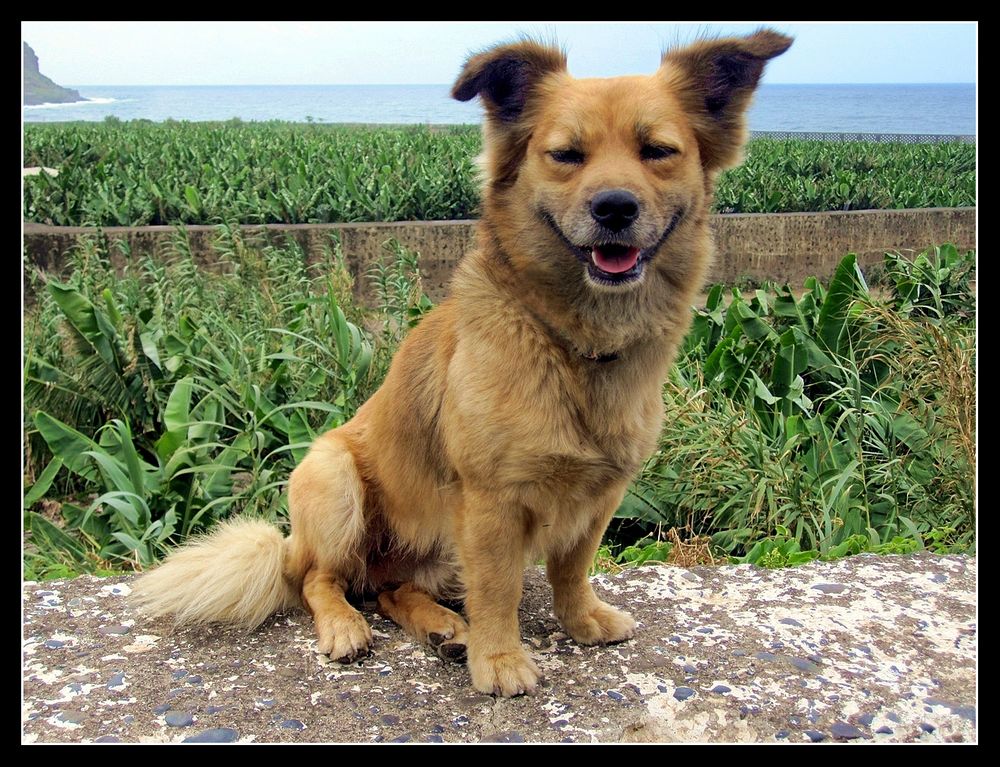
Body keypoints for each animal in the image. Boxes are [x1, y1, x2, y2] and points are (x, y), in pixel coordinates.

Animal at [133, 30, 788, 700]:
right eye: (566, 155)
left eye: (658, 151)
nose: (614, 207)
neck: (573, 342)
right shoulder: (492, 499)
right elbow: (498, 590)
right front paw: (499, 660)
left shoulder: (602, 492)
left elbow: (573, 567)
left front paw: (580, 621)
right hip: (333, 479)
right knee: (322, 580)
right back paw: (348, 626)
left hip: (430, 554)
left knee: (391, 589)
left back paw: (443, 628)